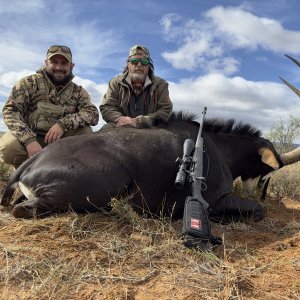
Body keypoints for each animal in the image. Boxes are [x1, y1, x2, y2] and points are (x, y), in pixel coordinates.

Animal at [1, 111, 298, 221]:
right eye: (269, 171)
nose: (264, 194)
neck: (220, 147)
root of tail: (31, 161)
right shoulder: (217, 200)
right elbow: (257, 212)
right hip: (110, 180)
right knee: (20, 209)